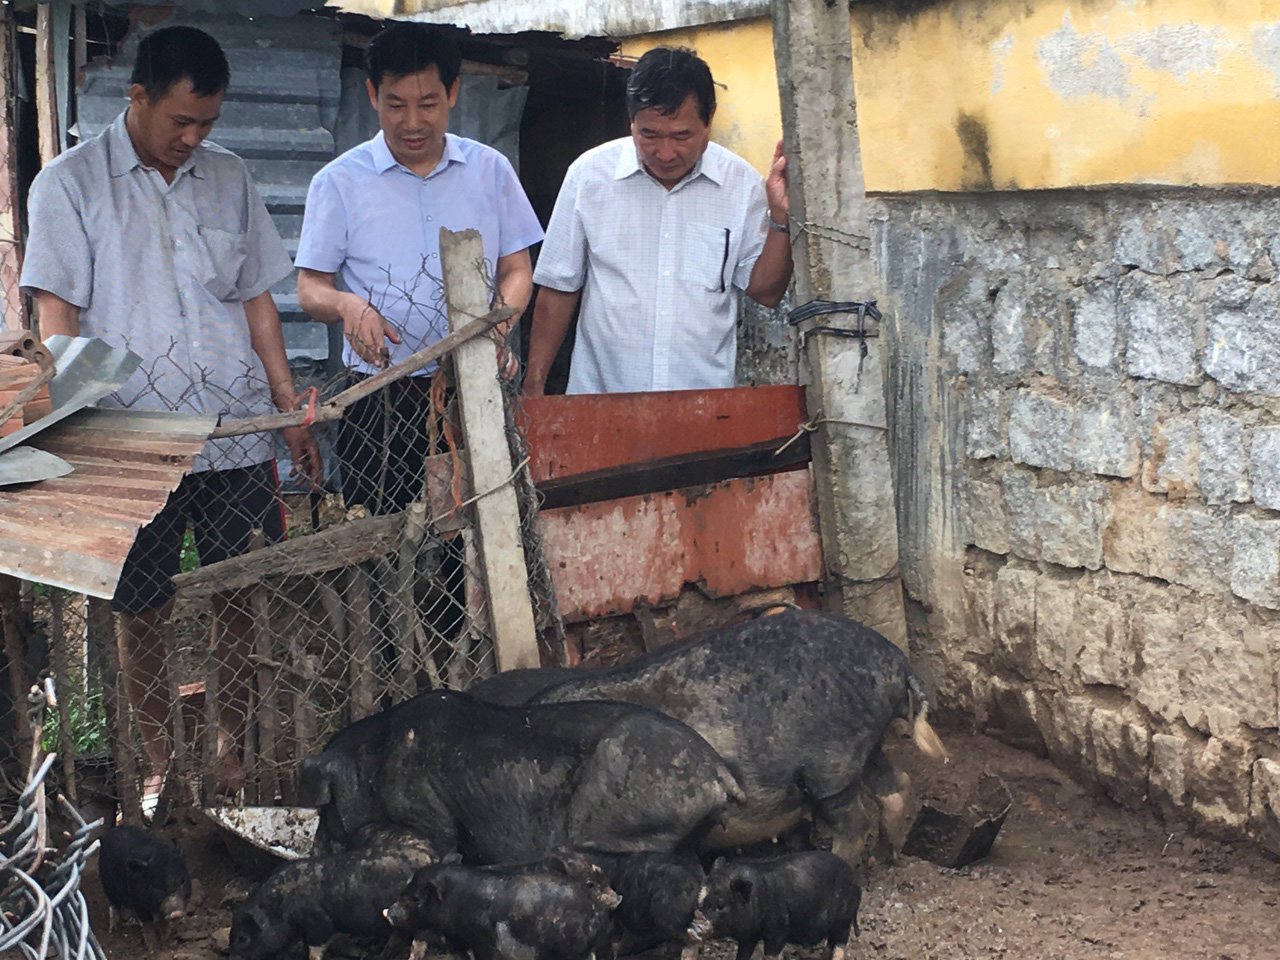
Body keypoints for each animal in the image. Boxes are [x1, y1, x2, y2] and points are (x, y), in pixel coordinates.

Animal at [522, 609, 952, 865]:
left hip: (832, 762)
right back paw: (886, 856)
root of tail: (897, 663)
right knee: (895, 786)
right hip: (864, 748)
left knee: (855, 820)